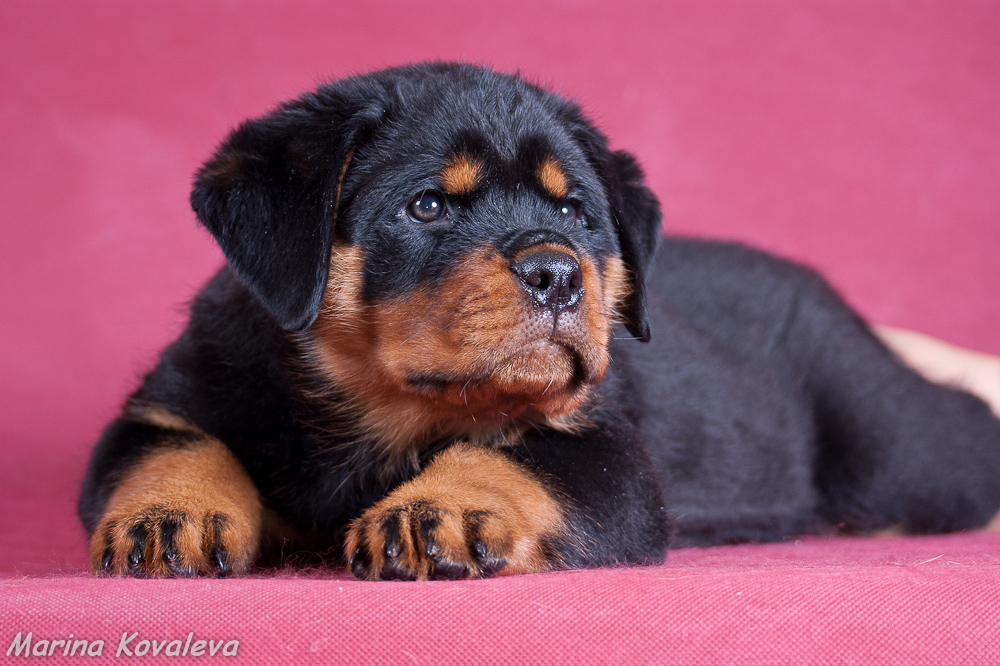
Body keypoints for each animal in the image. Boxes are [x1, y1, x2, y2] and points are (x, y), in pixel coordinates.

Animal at [78, 65, 1000, 580]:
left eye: (575, 213)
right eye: (427, 206)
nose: (558, 273)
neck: (379, 411)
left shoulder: (608, 453)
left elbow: (522, 459)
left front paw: (439, 509)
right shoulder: (174, 393)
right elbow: (171, 444)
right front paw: (170, 516)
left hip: (896, 453)